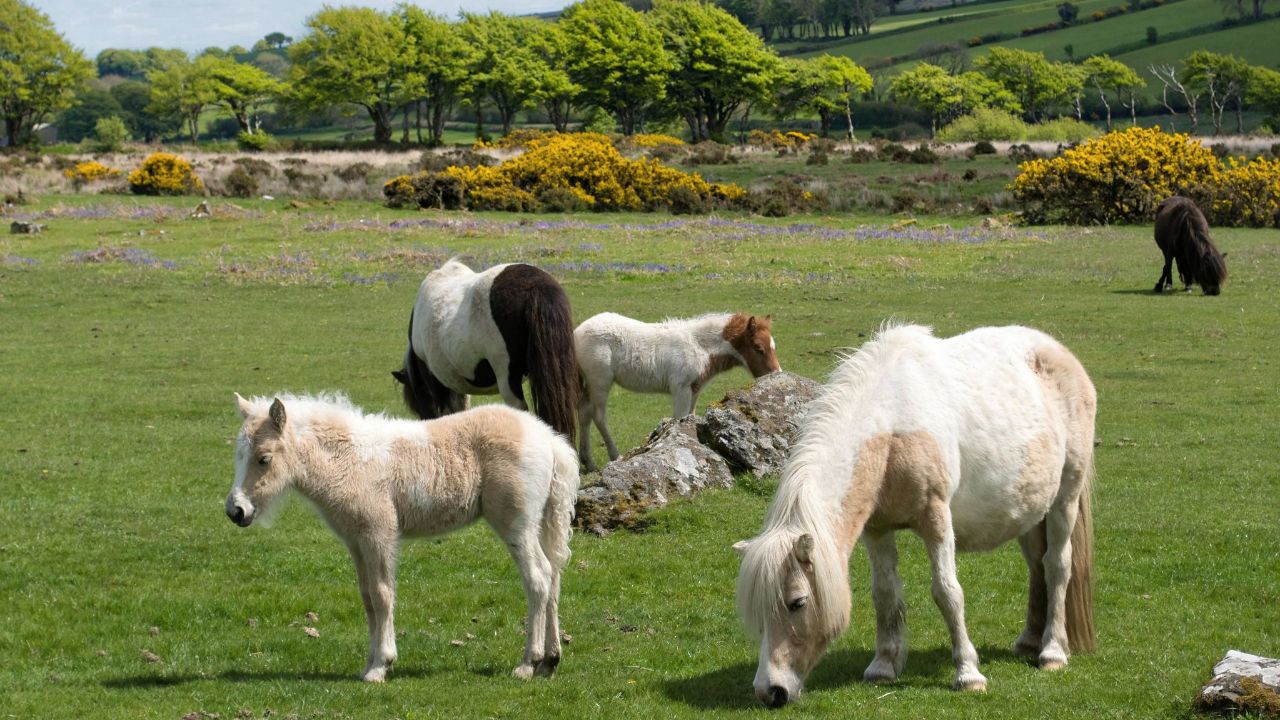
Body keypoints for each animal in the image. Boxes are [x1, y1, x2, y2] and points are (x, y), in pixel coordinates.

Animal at [224, 392, 579, 682]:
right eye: (238, 456)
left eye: (264, 458)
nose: (236, 511)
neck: (350, 460)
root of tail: (548, 438)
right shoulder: (355, 542)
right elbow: (367, 597)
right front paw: (368, 663)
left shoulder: (379, 534)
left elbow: (383, 594)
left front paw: (381, 666)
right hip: (541, 522)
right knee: (554, 577)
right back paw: (550, 661)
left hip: (517, 524)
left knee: (538, 578)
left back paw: (528, 663)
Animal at [573, 312, 781, 471]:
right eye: (758, 348)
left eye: (774, 346)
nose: (778, 374)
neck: (699, 345)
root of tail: (576, 332)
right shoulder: (681, 389)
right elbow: (679, 420)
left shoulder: (694, 390)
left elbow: (690, 417)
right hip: (600, 382)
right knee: (598, 416)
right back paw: (614, 455)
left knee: (584, 414)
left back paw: (588, 462)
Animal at [734, 324, 1096, 707]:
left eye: (798, 603)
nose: (770, 691)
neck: (893, 425)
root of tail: (1056, 350)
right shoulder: (877, 529)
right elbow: (884, 593)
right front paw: (883, 666)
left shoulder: (936, 519)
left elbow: (948, 593)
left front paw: (968, 674)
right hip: (1030, 512)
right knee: (1036, 566)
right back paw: (1029, 641)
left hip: (1065, 498)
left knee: (1057, 565)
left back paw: (1052, 651)